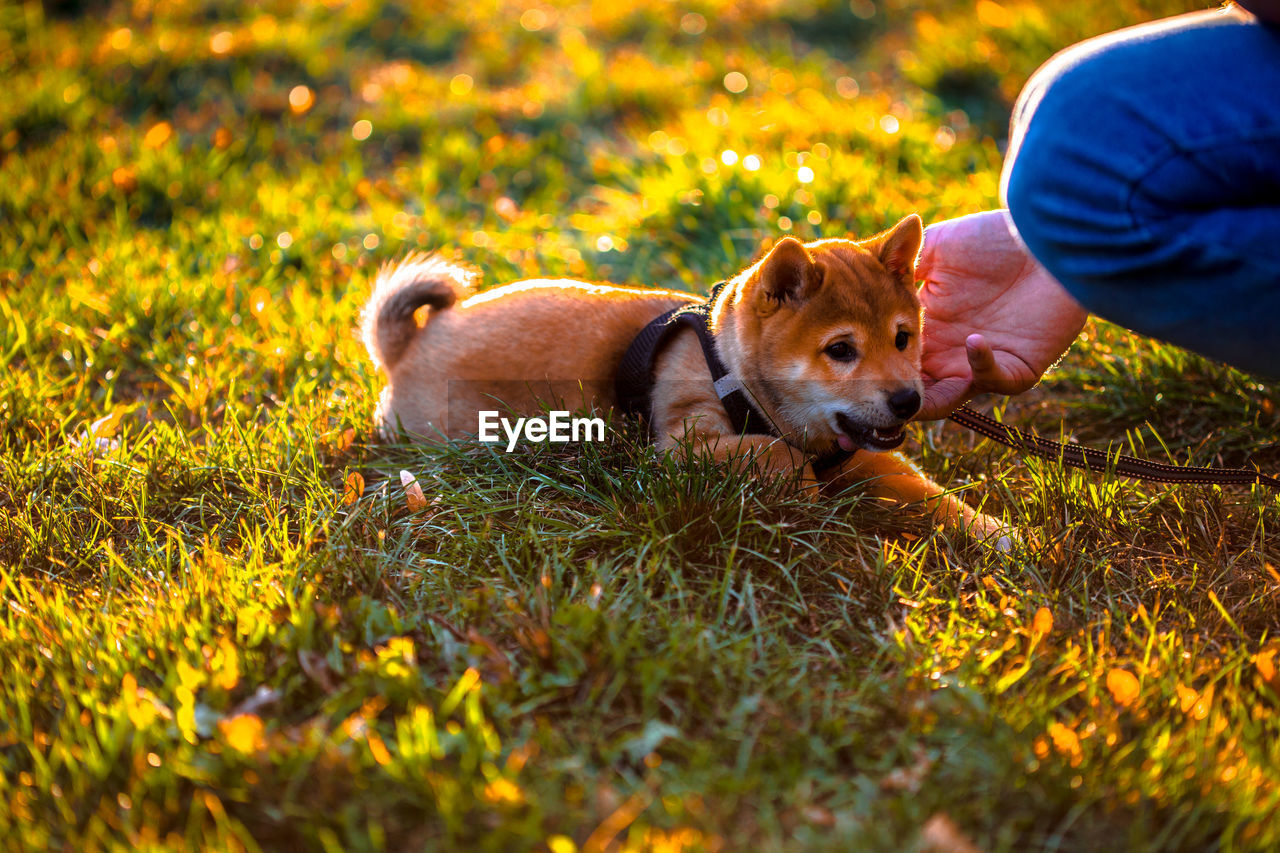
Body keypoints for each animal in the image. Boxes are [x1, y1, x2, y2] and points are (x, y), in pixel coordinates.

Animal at [366, 217, 1013, 537]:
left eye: (903, 338)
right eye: (840, 350)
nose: (907, 400)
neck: (732, 370)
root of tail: (410, 345)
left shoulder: (865, 456)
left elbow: (932, 495)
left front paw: (999, 536)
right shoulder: (684, 444)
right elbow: (779, 455)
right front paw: (804, 495)